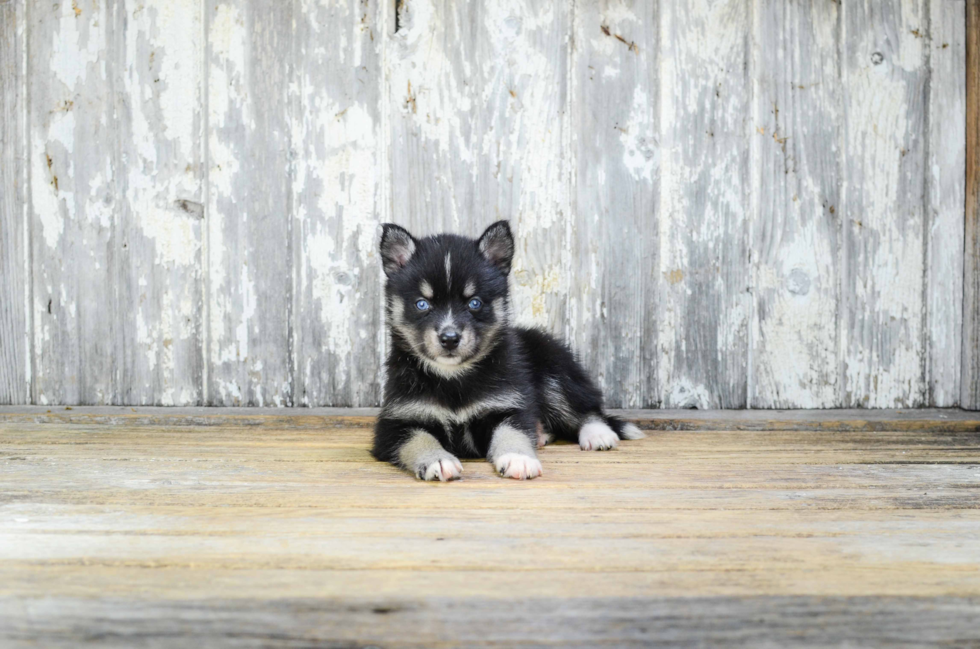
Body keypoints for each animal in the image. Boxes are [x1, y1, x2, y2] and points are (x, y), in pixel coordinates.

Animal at [374, 220, 644, 478]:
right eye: (422, 304)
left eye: (475, 303)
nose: (449, 339)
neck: (454, 378)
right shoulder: (396, 423)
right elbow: (419, 439)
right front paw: (437, 460)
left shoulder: (509, 405)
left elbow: (512, 431)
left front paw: (518, 458)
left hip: (555, 372)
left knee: (587, 409)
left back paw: (597, 433)